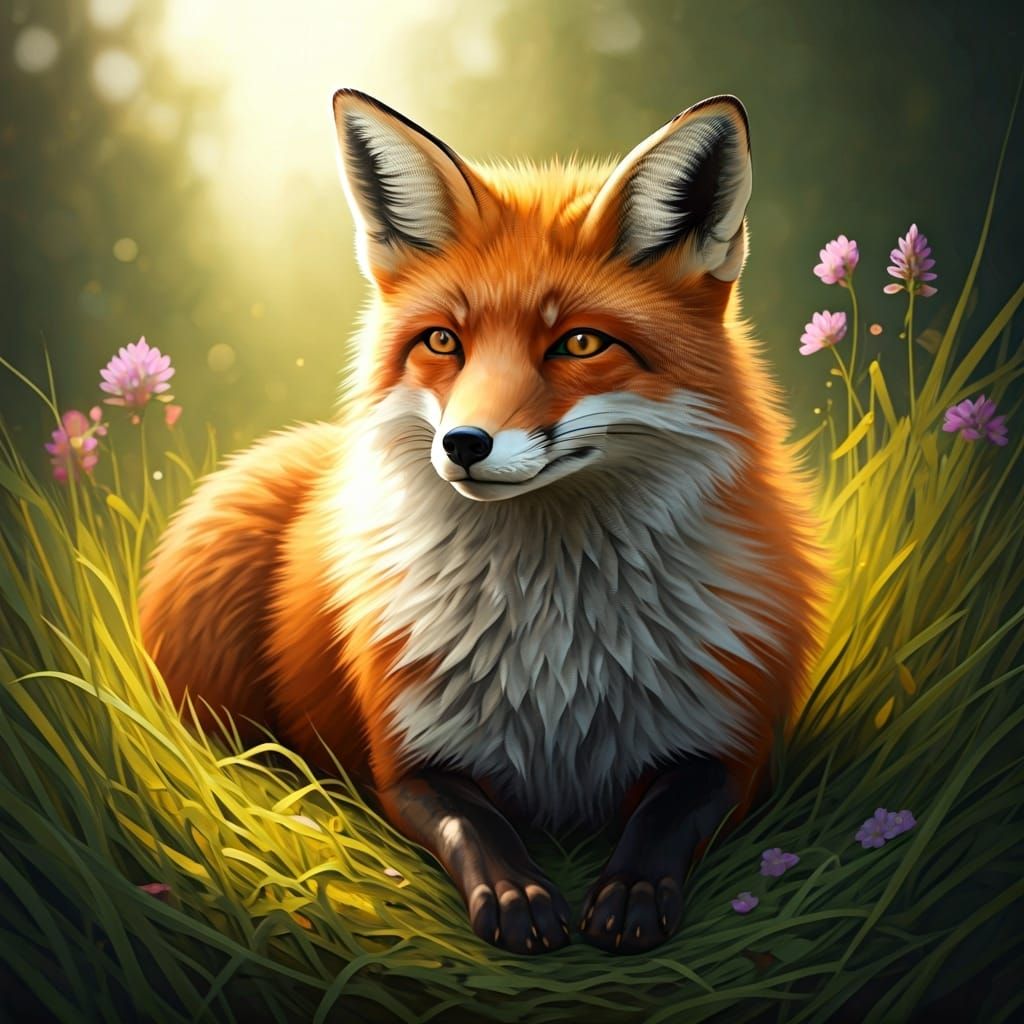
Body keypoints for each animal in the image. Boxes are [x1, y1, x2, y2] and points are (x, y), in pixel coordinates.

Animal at [139, 88, 829, 956]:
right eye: (443, 340)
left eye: (580, 343)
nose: (463, 444)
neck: (559, 644)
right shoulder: (407, 756)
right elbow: (475, 824)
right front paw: (517, 893)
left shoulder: (735, 741)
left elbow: (667, 810)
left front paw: (632, 890)